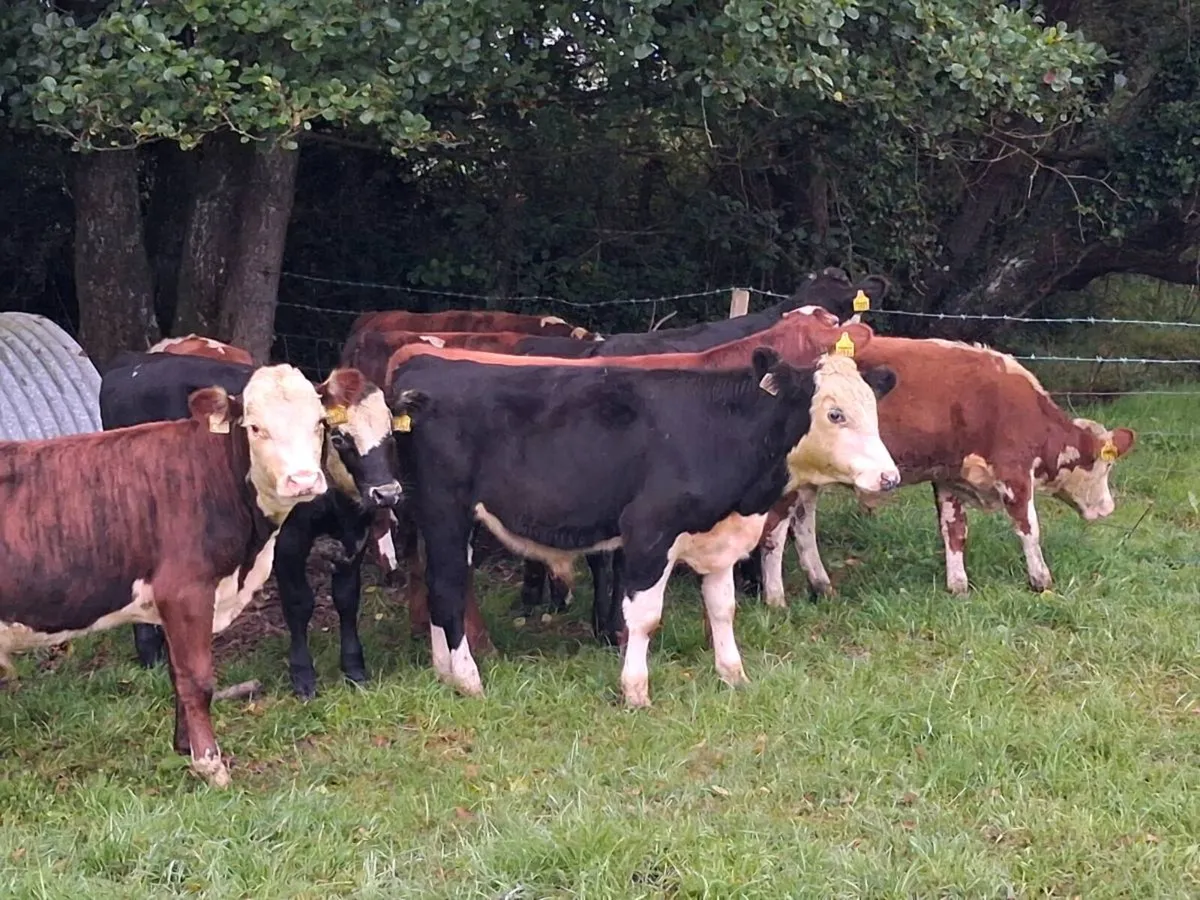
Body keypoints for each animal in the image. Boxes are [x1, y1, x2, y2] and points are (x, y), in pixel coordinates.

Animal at [0, 364, 361, 786]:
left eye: (320, 422)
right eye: (255, 427)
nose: (302, 480)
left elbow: (177, 676)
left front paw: (183, 748)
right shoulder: (186, 593)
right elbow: (198, 679)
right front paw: (210, 764)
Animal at [99, 349, 414, 701]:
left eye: (390, 435)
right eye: (339, 438)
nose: (387, 493)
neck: (336, 507)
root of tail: (133, 362)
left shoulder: (354, 538)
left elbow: (347, 600)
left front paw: (354, 669)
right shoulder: (289, 543)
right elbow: (299, 604)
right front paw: (303, 676)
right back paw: (149, 652)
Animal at [386, 347, 900, 705]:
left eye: (874, 411)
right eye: (835, 414)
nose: (889, 477)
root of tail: (425, 366)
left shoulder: (719, 539)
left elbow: (722, 609)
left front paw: (733, 675)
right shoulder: (650, 533)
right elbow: (644, 616)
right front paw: (635, 690)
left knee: (436, 586)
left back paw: (443, 671)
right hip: (445, 512)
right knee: (449, 590)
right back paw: (468, 679)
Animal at [754, 337, 1137, 606]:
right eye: (1108, 464)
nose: (1108, 508)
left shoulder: (950, 478)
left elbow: (954, 532)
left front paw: (958, 585)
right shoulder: (1013, 473)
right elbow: (1029, 529)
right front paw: (1041, 580)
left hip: (807, 483)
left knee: (803, 527)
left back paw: (822, 586)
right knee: (774, 534)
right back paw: (776, 600)